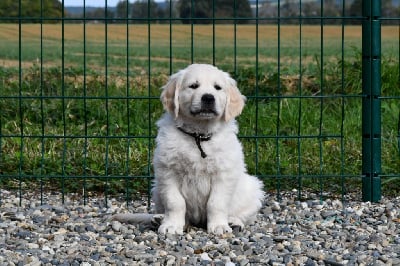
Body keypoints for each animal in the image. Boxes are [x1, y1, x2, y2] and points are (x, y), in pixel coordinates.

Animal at [113, 64, 262, 235]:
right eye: (193, 86)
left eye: (218, 87)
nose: (208, 97)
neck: (198, 134)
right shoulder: (167, 172)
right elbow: (175, 202)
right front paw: (171, 225)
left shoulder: (224, 174)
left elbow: (216, 202)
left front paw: (219, 225)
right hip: (157, 188)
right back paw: (160, 219)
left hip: (252, 188)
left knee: (244, 215)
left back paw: (233, 221)